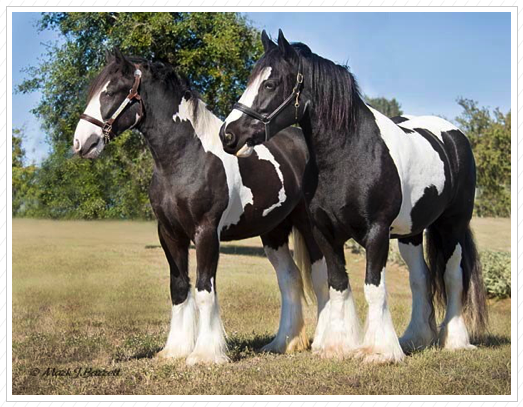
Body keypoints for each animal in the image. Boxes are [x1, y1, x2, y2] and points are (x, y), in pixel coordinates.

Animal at [73, 50, 330, 366]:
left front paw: (206, 354)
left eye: (110, 91)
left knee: (321, 277)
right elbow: (179, 288)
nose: (81, 142)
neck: (186, 158)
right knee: (290, 279)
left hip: (308, 227)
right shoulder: (170, 234)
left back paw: (326, 341)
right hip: (274, 231)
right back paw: (284, 342)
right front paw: (175, 350)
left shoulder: (206, 233)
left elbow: (205, 289)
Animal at [220, 31, 488, 364]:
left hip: (452, 226)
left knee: (452, 276)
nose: (228, 135)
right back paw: (414, 338)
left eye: (270, 84)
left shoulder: (376, 233)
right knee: (420, 279)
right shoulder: (325, 233)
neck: (349, 154)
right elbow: (338, 284)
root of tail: (454, 135)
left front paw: (379, 351)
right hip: (410, 234)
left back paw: (454, 341)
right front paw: (338, 346)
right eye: (250, 80)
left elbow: (374, 287)